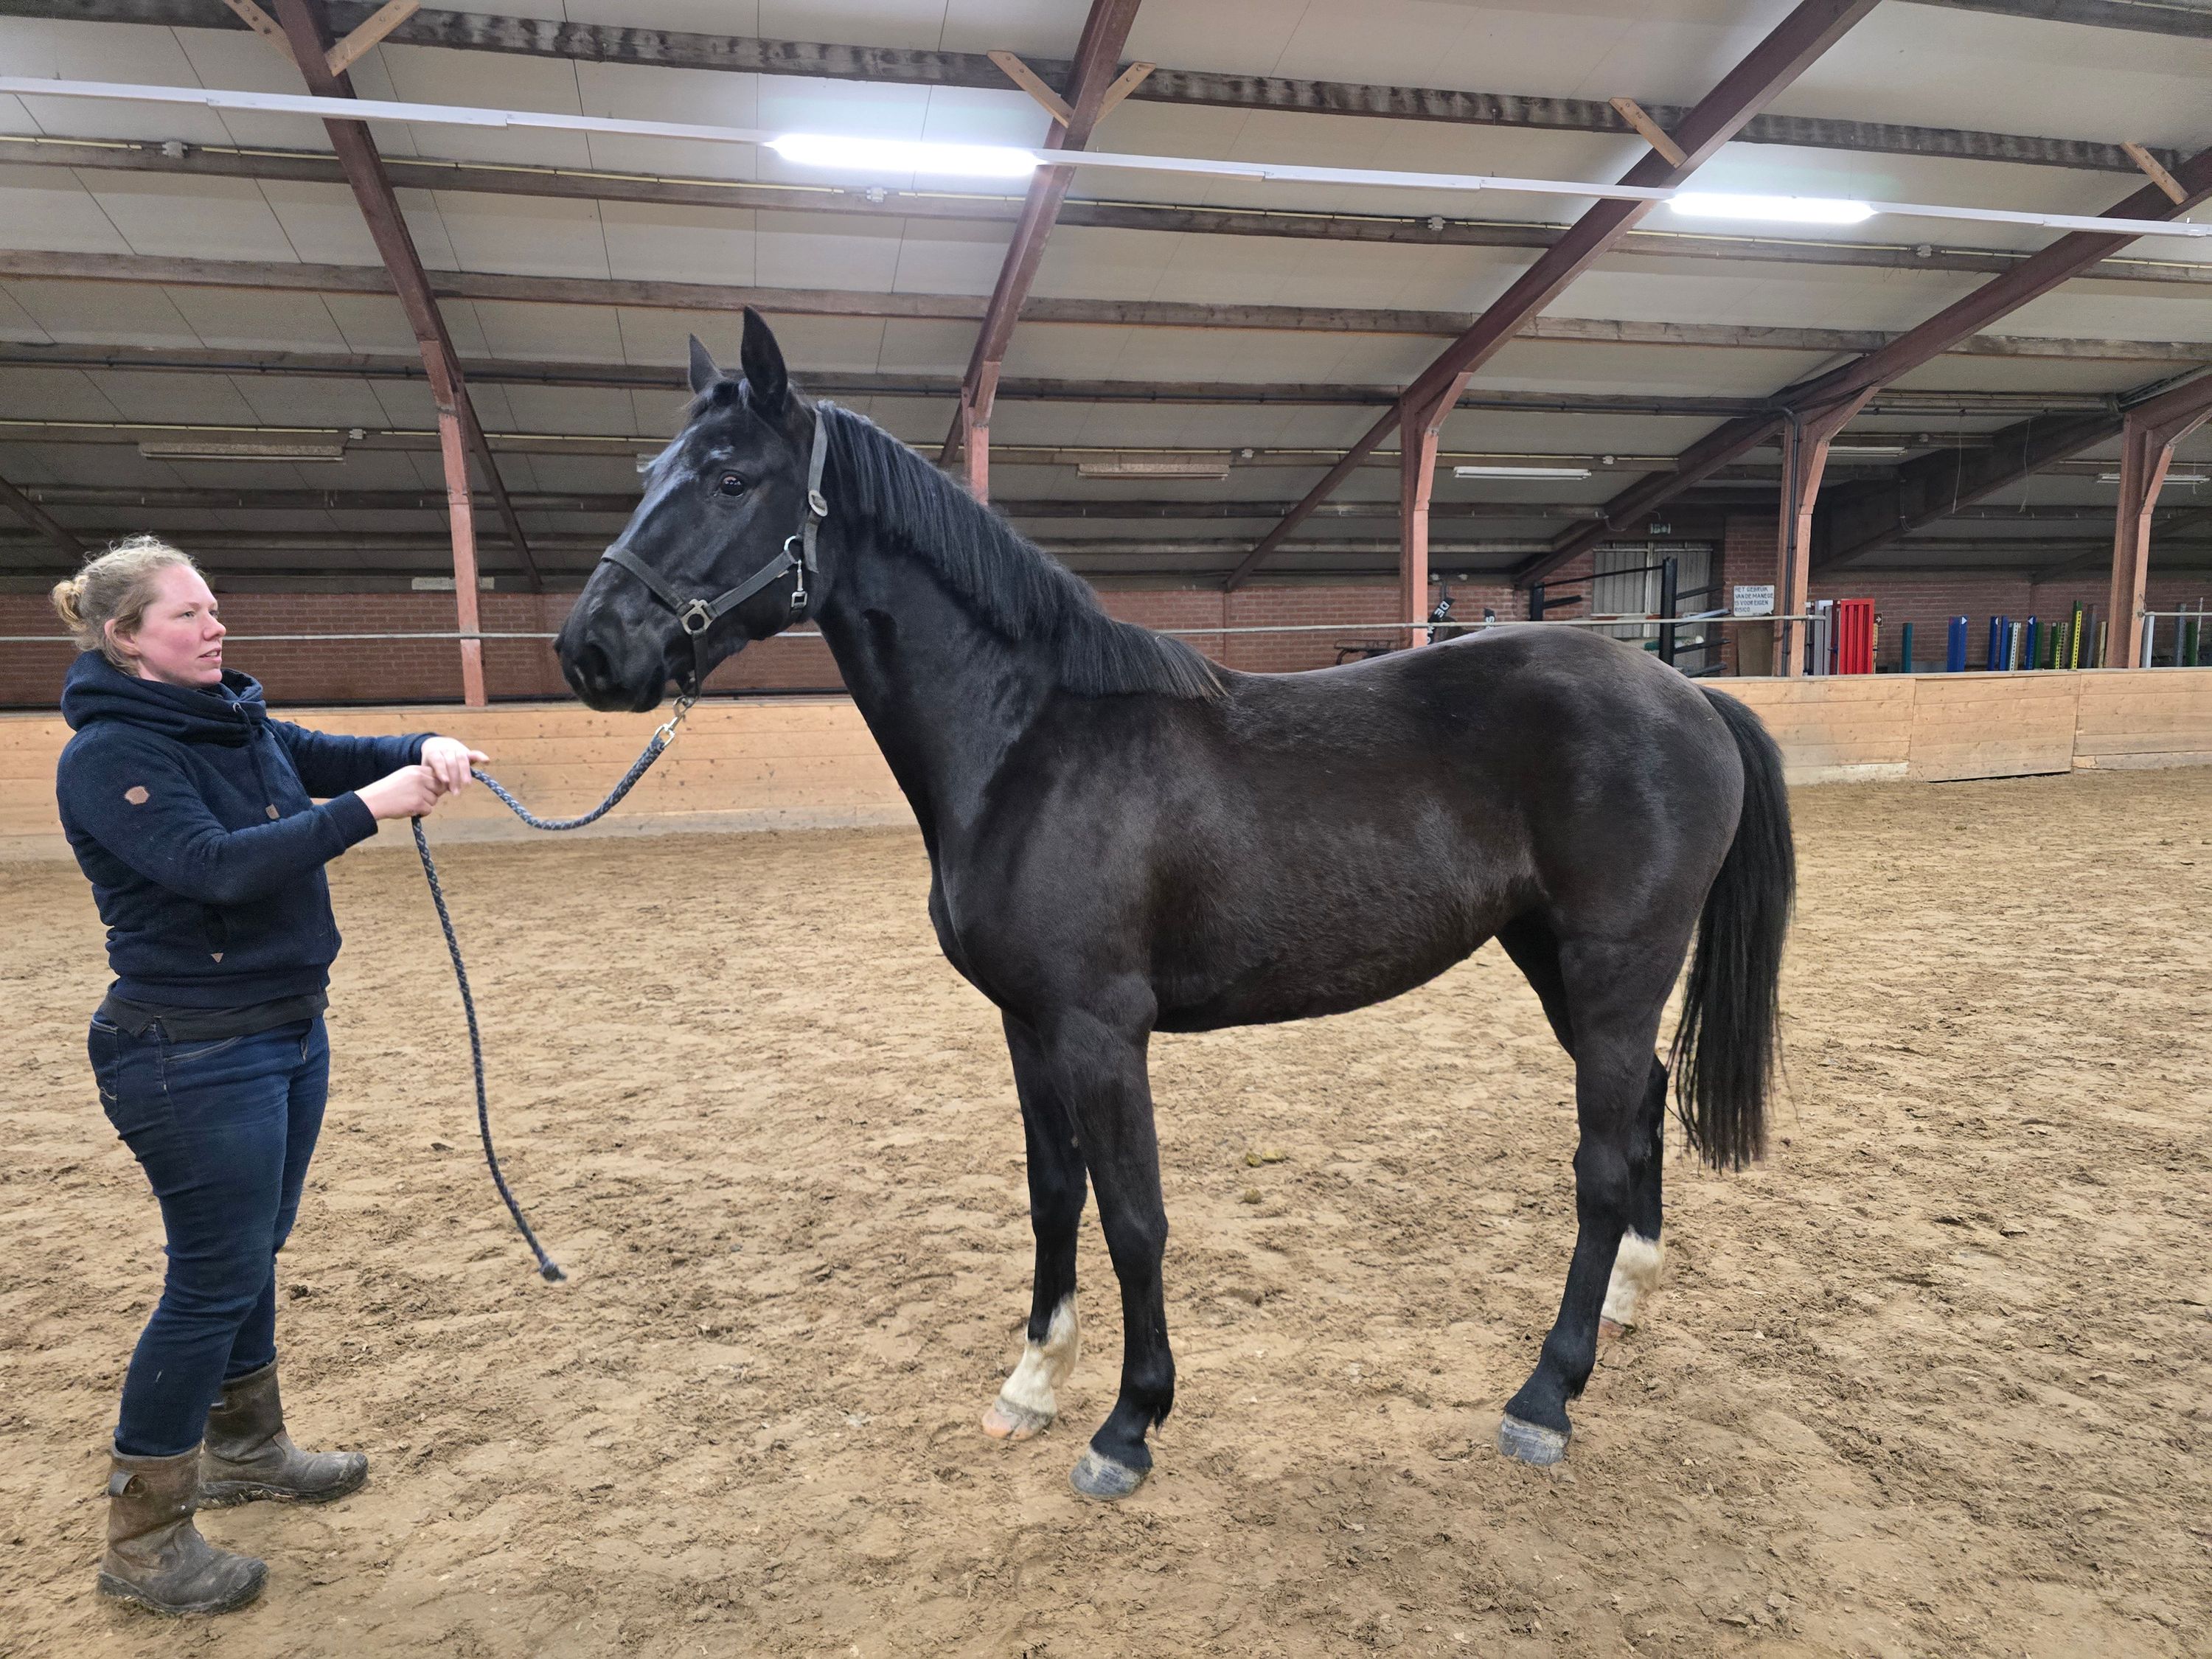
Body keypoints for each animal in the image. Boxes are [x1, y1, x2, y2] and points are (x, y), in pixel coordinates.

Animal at [555, 310, 1795, 1499]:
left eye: (729, 477)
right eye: (655, 468)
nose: (591, 648)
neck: (1029, 741)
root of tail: (1690, 693)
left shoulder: (1103, 1030)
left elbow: (1133, 1215)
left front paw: (1128, 1422)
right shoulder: (1026, 1024)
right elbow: (1054, 1194)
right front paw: (1032, 1380)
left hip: (1614, 964)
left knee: (1600, 1159)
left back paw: (1544, 1395)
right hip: (1554, 959)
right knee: (1645, 1105)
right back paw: (1623, 1308)